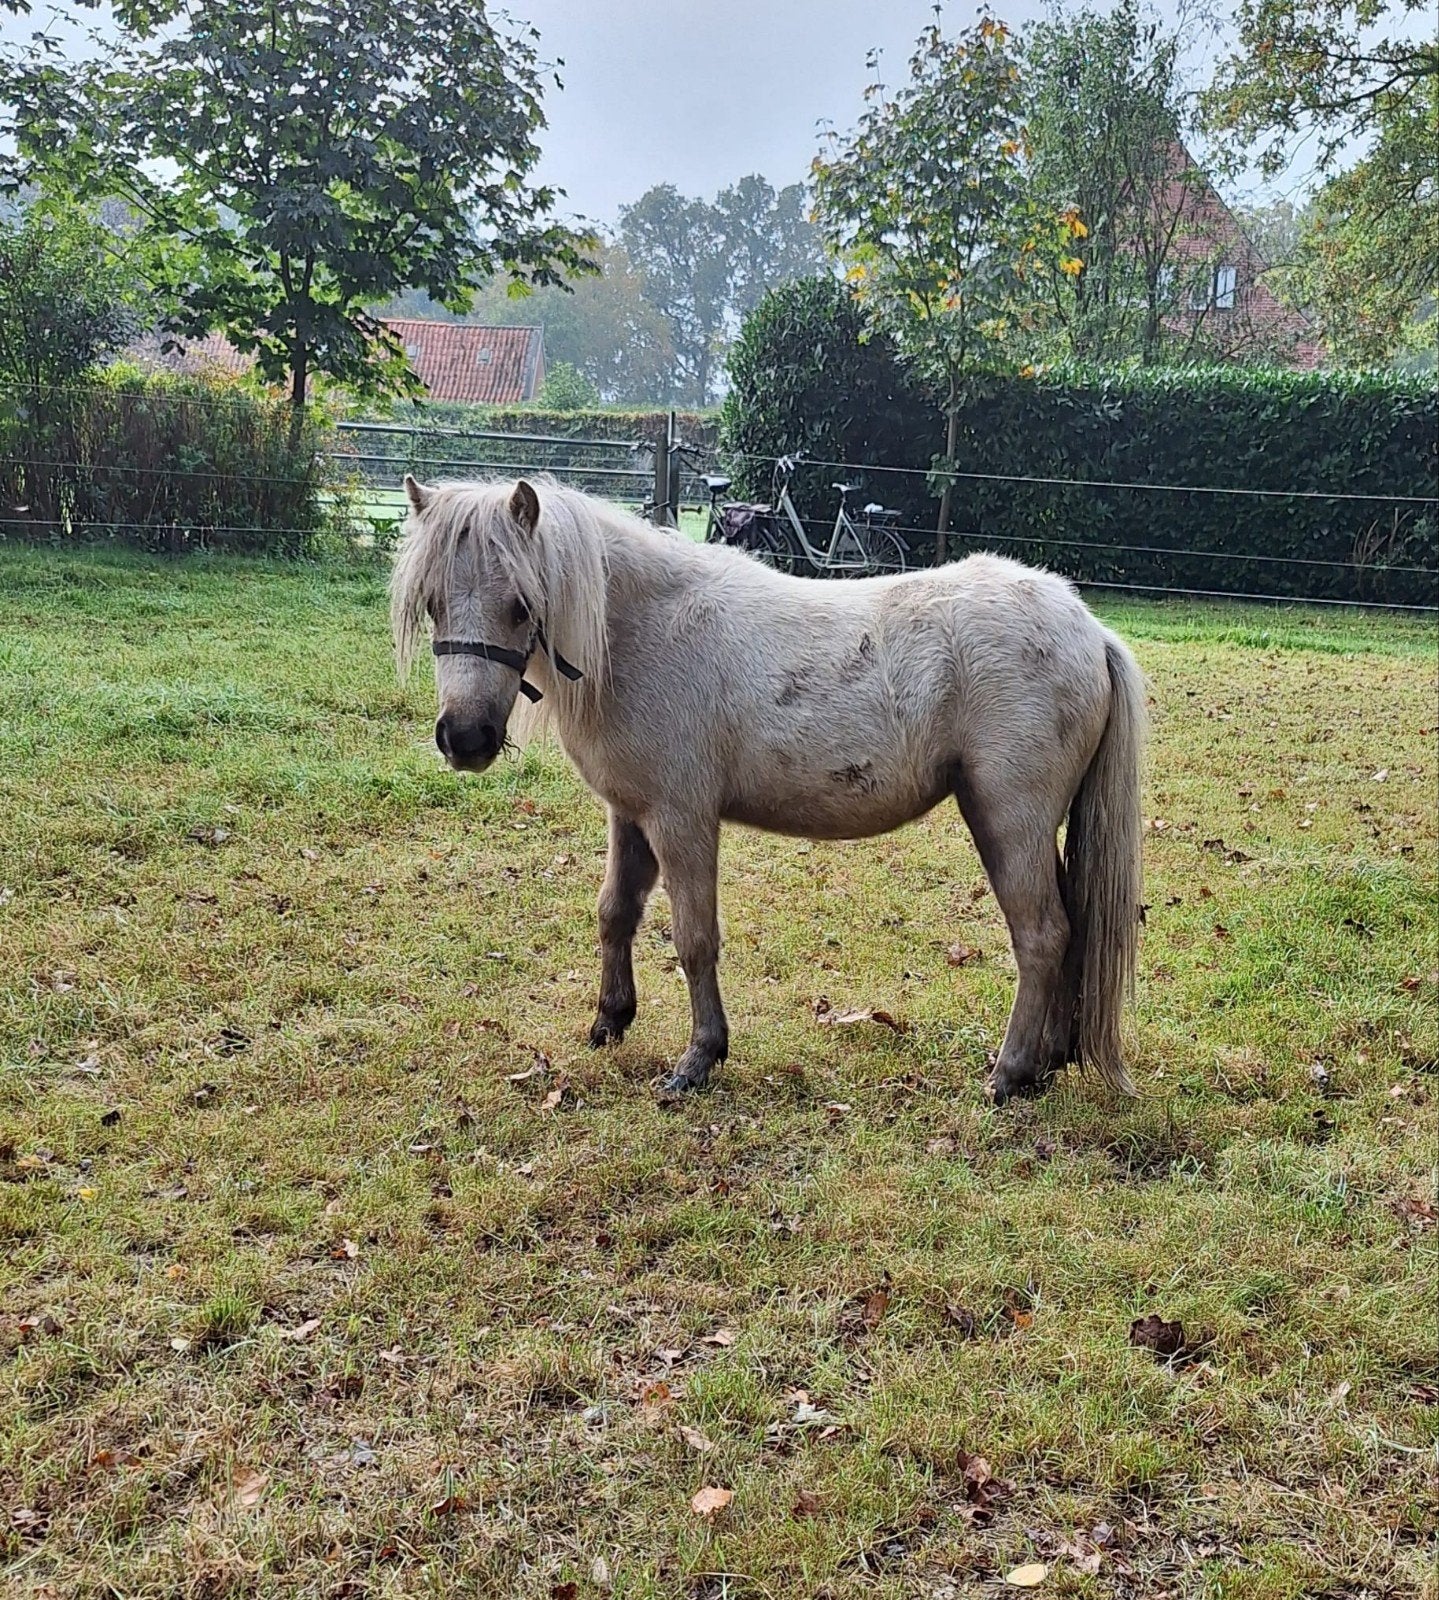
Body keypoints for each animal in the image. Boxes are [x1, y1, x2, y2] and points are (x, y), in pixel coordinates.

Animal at [390, 475, 1146, 1104]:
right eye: (432, 604)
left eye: (522, 607)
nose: (464, 738)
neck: (643, 633)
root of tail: (1088, 629)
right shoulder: (629, 816)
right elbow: (615, 913)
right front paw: (609, 1020)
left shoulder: (681, 820)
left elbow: (694, 938)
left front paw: (698, 1059)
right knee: (1070, 929)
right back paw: (1049, 1060)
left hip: (1008, 821)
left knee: (1042, 935)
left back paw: (1010, 1073)